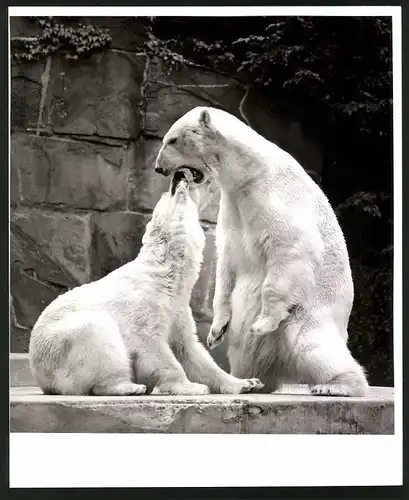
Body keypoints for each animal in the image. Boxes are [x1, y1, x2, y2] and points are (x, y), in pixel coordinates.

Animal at [30, 170, 262, 396]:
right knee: (98, 335)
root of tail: (42, 378)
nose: (179, 175)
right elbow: (151, 345)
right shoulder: (144, 306)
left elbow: (190, 350)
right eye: (166, 194)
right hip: (62, 347)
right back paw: (128, 387)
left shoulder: (178, 309)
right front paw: (191, 387)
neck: (165, 275)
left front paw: (246, 382)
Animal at [155, 106, 368, 398]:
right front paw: (215, 331)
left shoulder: (272, 195)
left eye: (173, 139)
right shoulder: (233, 207)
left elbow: (293, 247)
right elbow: (228, 263)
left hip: (307, 317)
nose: (158, 168)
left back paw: (335, 385)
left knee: (312, 346)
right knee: (247, 352)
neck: (248, 171)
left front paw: (263, 322)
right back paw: (251, 380)